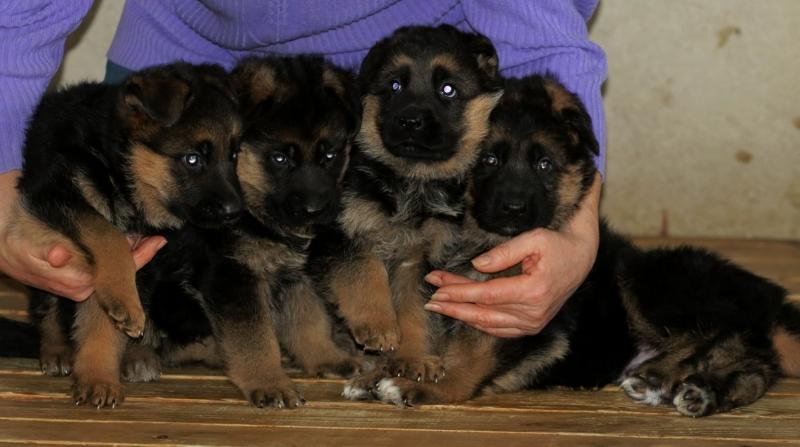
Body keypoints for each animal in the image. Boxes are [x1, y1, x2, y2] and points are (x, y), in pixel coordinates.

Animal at [18, 63, 243, 407]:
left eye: (233, 156)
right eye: (192, 159)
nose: (236, 212)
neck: (120, 171)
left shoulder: (149, 253)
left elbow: (104, 319)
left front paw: (98, 377)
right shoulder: (55, 194)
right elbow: (107, 232)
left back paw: (138, 353)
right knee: (48, 301)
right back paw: (56, 349)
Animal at [129, 56, 365, 409]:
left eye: (329, 155)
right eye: (279, 158)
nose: (315, 210)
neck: (253, 213)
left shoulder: (293, 275)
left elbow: (310, 319)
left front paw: (326, 357)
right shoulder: (232, 276)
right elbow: (254, 337)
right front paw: (269, 382)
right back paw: (137, 357)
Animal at [309, 25, 503, 385]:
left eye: (447, 89)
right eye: (395, 86)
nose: (410, 120)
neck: (410, 180)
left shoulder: (421, 260)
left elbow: (417, 311)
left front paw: (415, 357)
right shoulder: (341, 234)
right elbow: (364, 270)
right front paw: (379, 325)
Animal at [348, 74, 800, 417]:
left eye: (544, 164)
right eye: (488, 162)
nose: (513, 209)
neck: (477, 241)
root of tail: (770, 297)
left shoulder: (514, 317)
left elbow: (470, 355)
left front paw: (427, 387)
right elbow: (424, 334)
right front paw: (389, 370)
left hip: (647, 277)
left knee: (738, 343)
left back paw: (684, 384)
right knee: (752, 360)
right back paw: (676, 382)